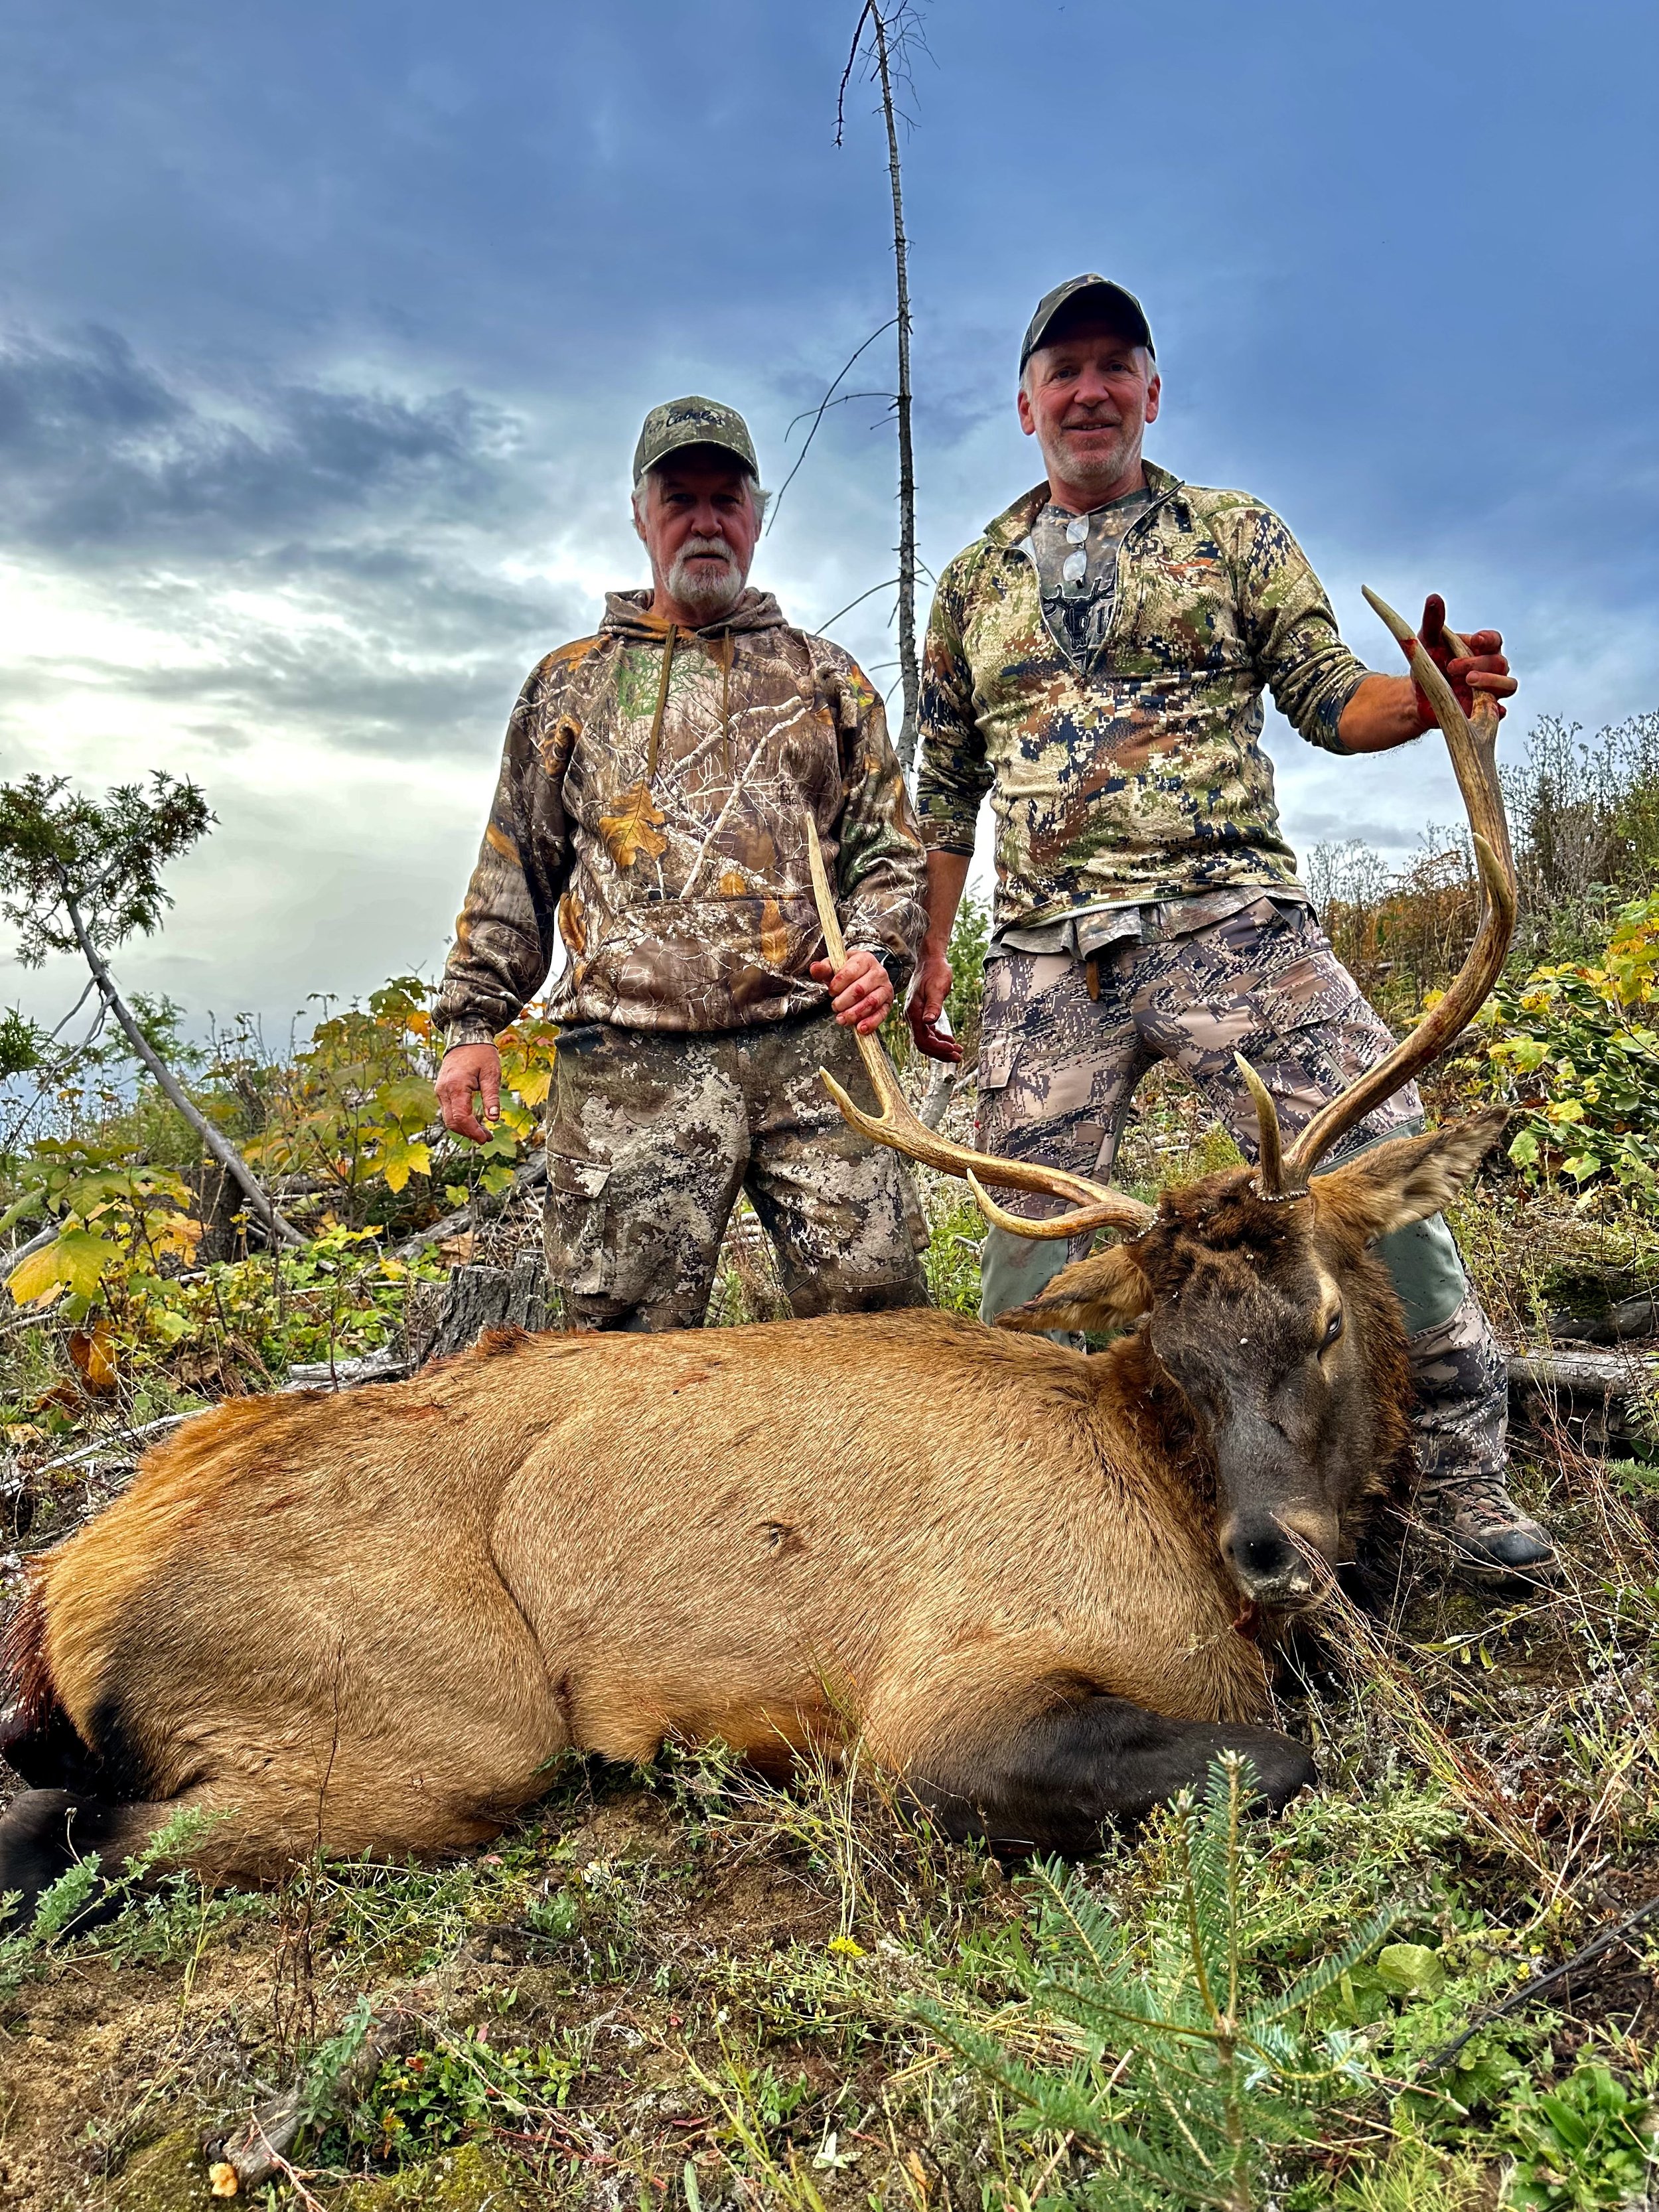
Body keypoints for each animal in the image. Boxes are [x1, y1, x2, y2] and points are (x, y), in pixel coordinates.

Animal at [0, 597, 1515, 1913]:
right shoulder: (942, 1698)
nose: (1269, 1551)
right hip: (425, 1723)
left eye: (1323, 1316)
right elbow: (1273, 1756)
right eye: (1177, 1354)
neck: (1156, 1483)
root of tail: (66, 1585)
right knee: (78, 1841)